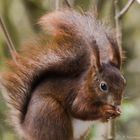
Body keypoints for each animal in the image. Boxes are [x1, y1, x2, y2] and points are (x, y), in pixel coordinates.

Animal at [0, 9, 126, 140]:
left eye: (124, 82)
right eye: (103, 86)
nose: (117, 102)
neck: (89, 86)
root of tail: (26, 128)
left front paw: (117, 112)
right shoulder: (79, 96)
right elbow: (79, 109)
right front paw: (105, 109)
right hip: (52, 113)